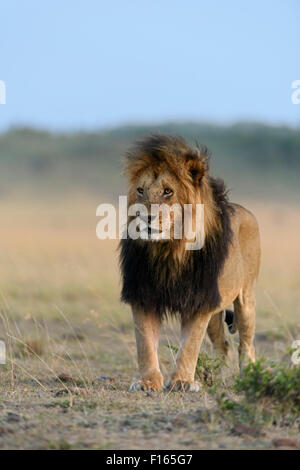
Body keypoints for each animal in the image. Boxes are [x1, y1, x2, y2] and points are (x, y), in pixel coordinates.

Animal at [119, 134, 260, 392]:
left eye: (168, 191)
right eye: (141, 190)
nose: (146, 218)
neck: (167, 250)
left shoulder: (200, 300)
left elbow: (190, 345)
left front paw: (182, 382)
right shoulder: (143, 295)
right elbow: (144, 343)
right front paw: (147, 382)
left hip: (246, 298)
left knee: (246, 344)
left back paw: (247, 378)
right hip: (217, 310)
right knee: (223, 345)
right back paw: (217, 379)